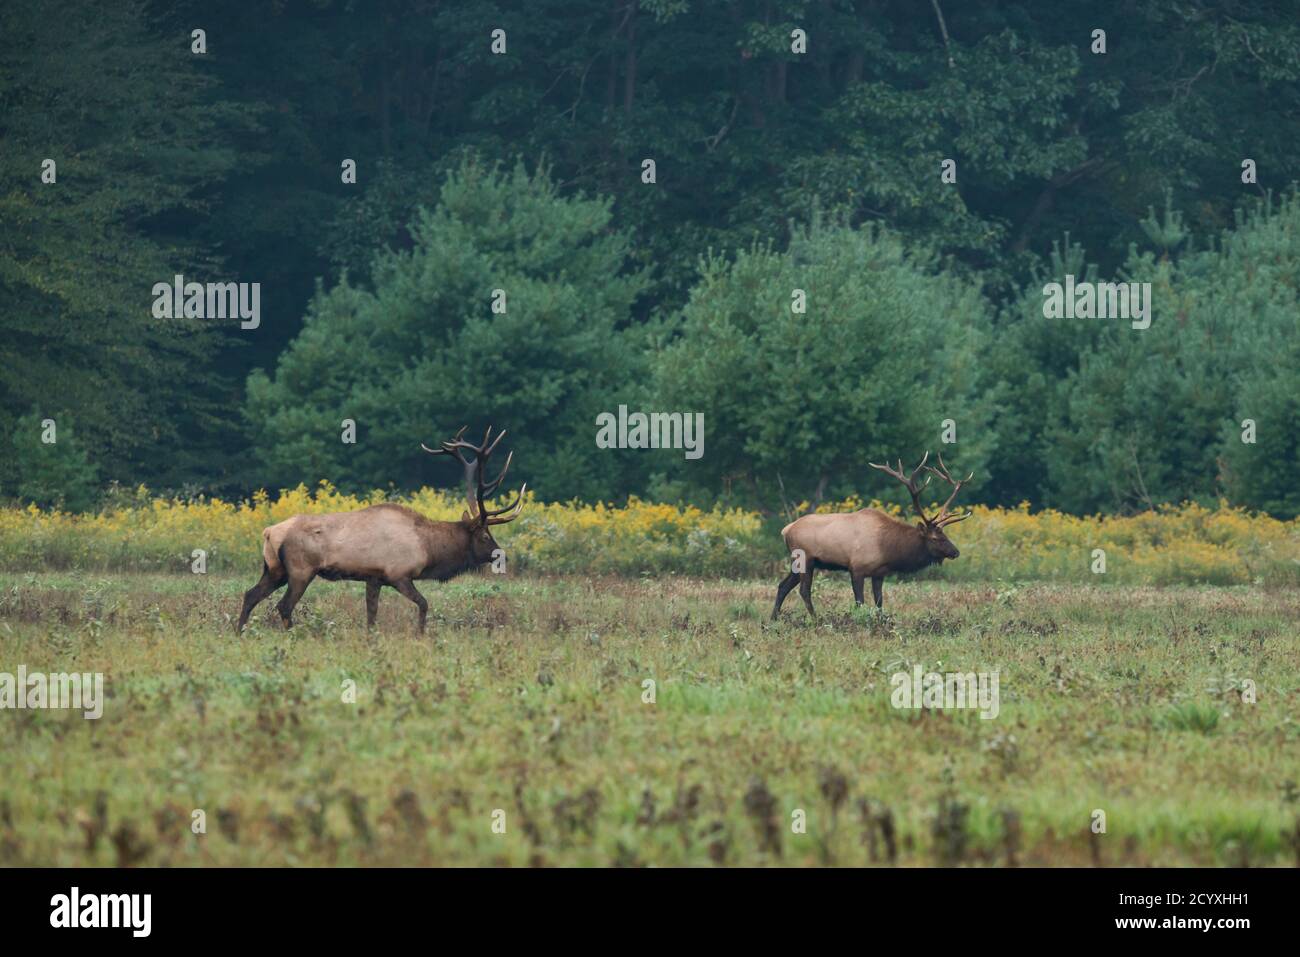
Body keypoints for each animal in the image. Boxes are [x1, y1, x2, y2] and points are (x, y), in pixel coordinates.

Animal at [236, 426, 525, 634]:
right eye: (485, 536)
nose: (502, 555)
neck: (428, 550)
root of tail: (269, 532)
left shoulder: (373, 578)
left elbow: (371, 616)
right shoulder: (399, 574)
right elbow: (423, 604)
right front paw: (420, 635)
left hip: (275, 570)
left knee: (250, 595)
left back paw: (239, 633)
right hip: (300, 570)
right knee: (284, 606)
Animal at [764, 449, 972, 621]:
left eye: (945, 534)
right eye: (936, 538)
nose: (956, 552)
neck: (888, 548)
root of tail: (786, 530)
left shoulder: (879, 573)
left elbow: (879, 603)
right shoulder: (856, 568)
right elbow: (860, 602)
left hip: (800, 562)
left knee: (783, 586)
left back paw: (773, 618)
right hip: (805, 558)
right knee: (804, 590)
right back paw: (816, 619)